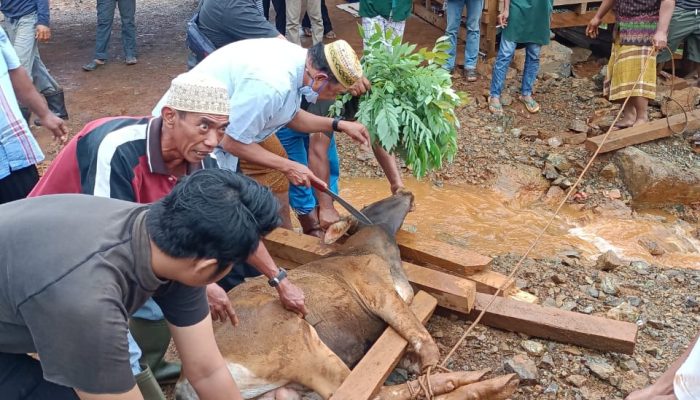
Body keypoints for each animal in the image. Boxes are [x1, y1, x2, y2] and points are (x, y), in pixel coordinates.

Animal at [174, 192, 520, 398]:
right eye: (369, 206)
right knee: (367, 392)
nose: (405, 192)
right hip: (297, 340)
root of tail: (183, 385)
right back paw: (482, 382)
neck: (376, 249)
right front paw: (432, 365)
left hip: (284, 390)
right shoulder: (378, 292)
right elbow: (421, 338)